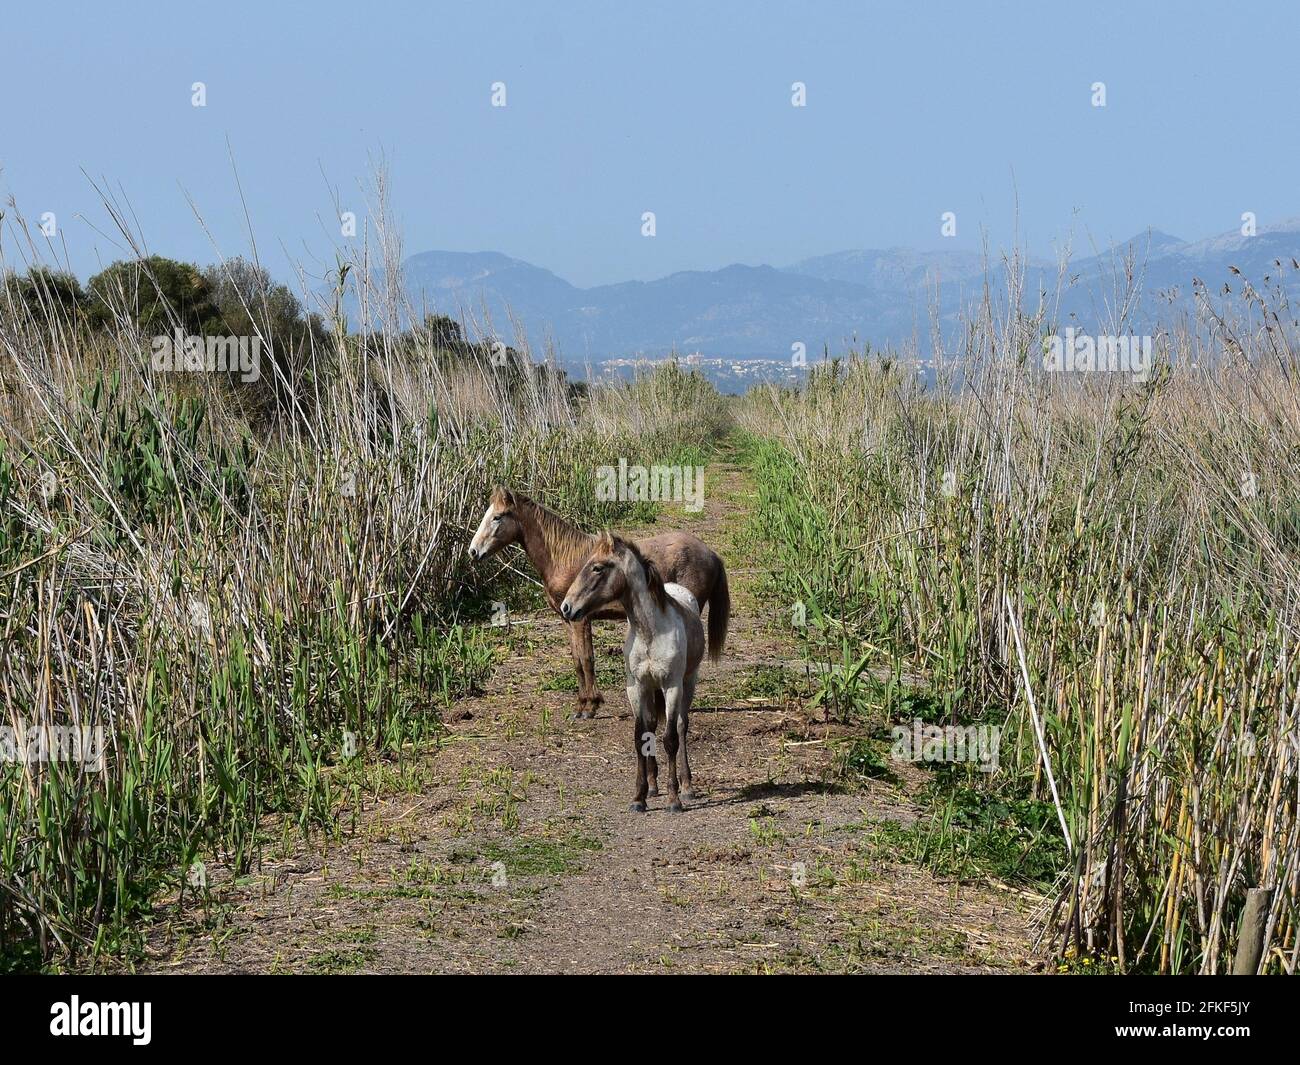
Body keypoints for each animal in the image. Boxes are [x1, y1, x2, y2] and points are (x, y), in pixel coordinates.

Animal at [467, 486, 733, 723]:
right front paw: (582, 706)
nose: (473, 551)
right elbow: (577, 661)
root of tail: (710, 554)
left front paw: (590, 707)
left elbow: (587, 660)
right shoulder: (568, 619)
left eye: (497, 517)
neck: (564, 558)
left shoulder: (581, 620)